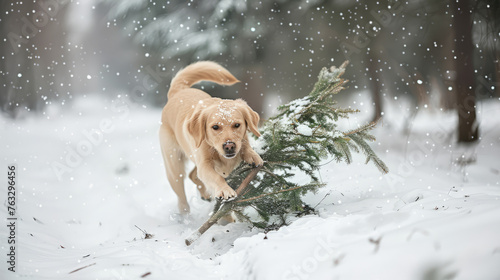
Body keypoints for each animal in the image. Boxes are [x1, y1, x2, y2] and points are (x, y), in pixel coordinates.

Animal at [160, 61, 264, 214]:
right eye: (215, 127)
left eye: (237, 125)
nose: (229, 146)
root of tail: (178, 91)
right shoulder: (204, 164)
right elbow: (216, 177)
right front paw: (225, 190)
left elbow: (245, 147)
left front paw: (253, 156)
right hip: (174, 167)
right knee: (182, 197)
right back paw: (185, 214)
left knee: (193, 175)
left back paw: (206, 195)